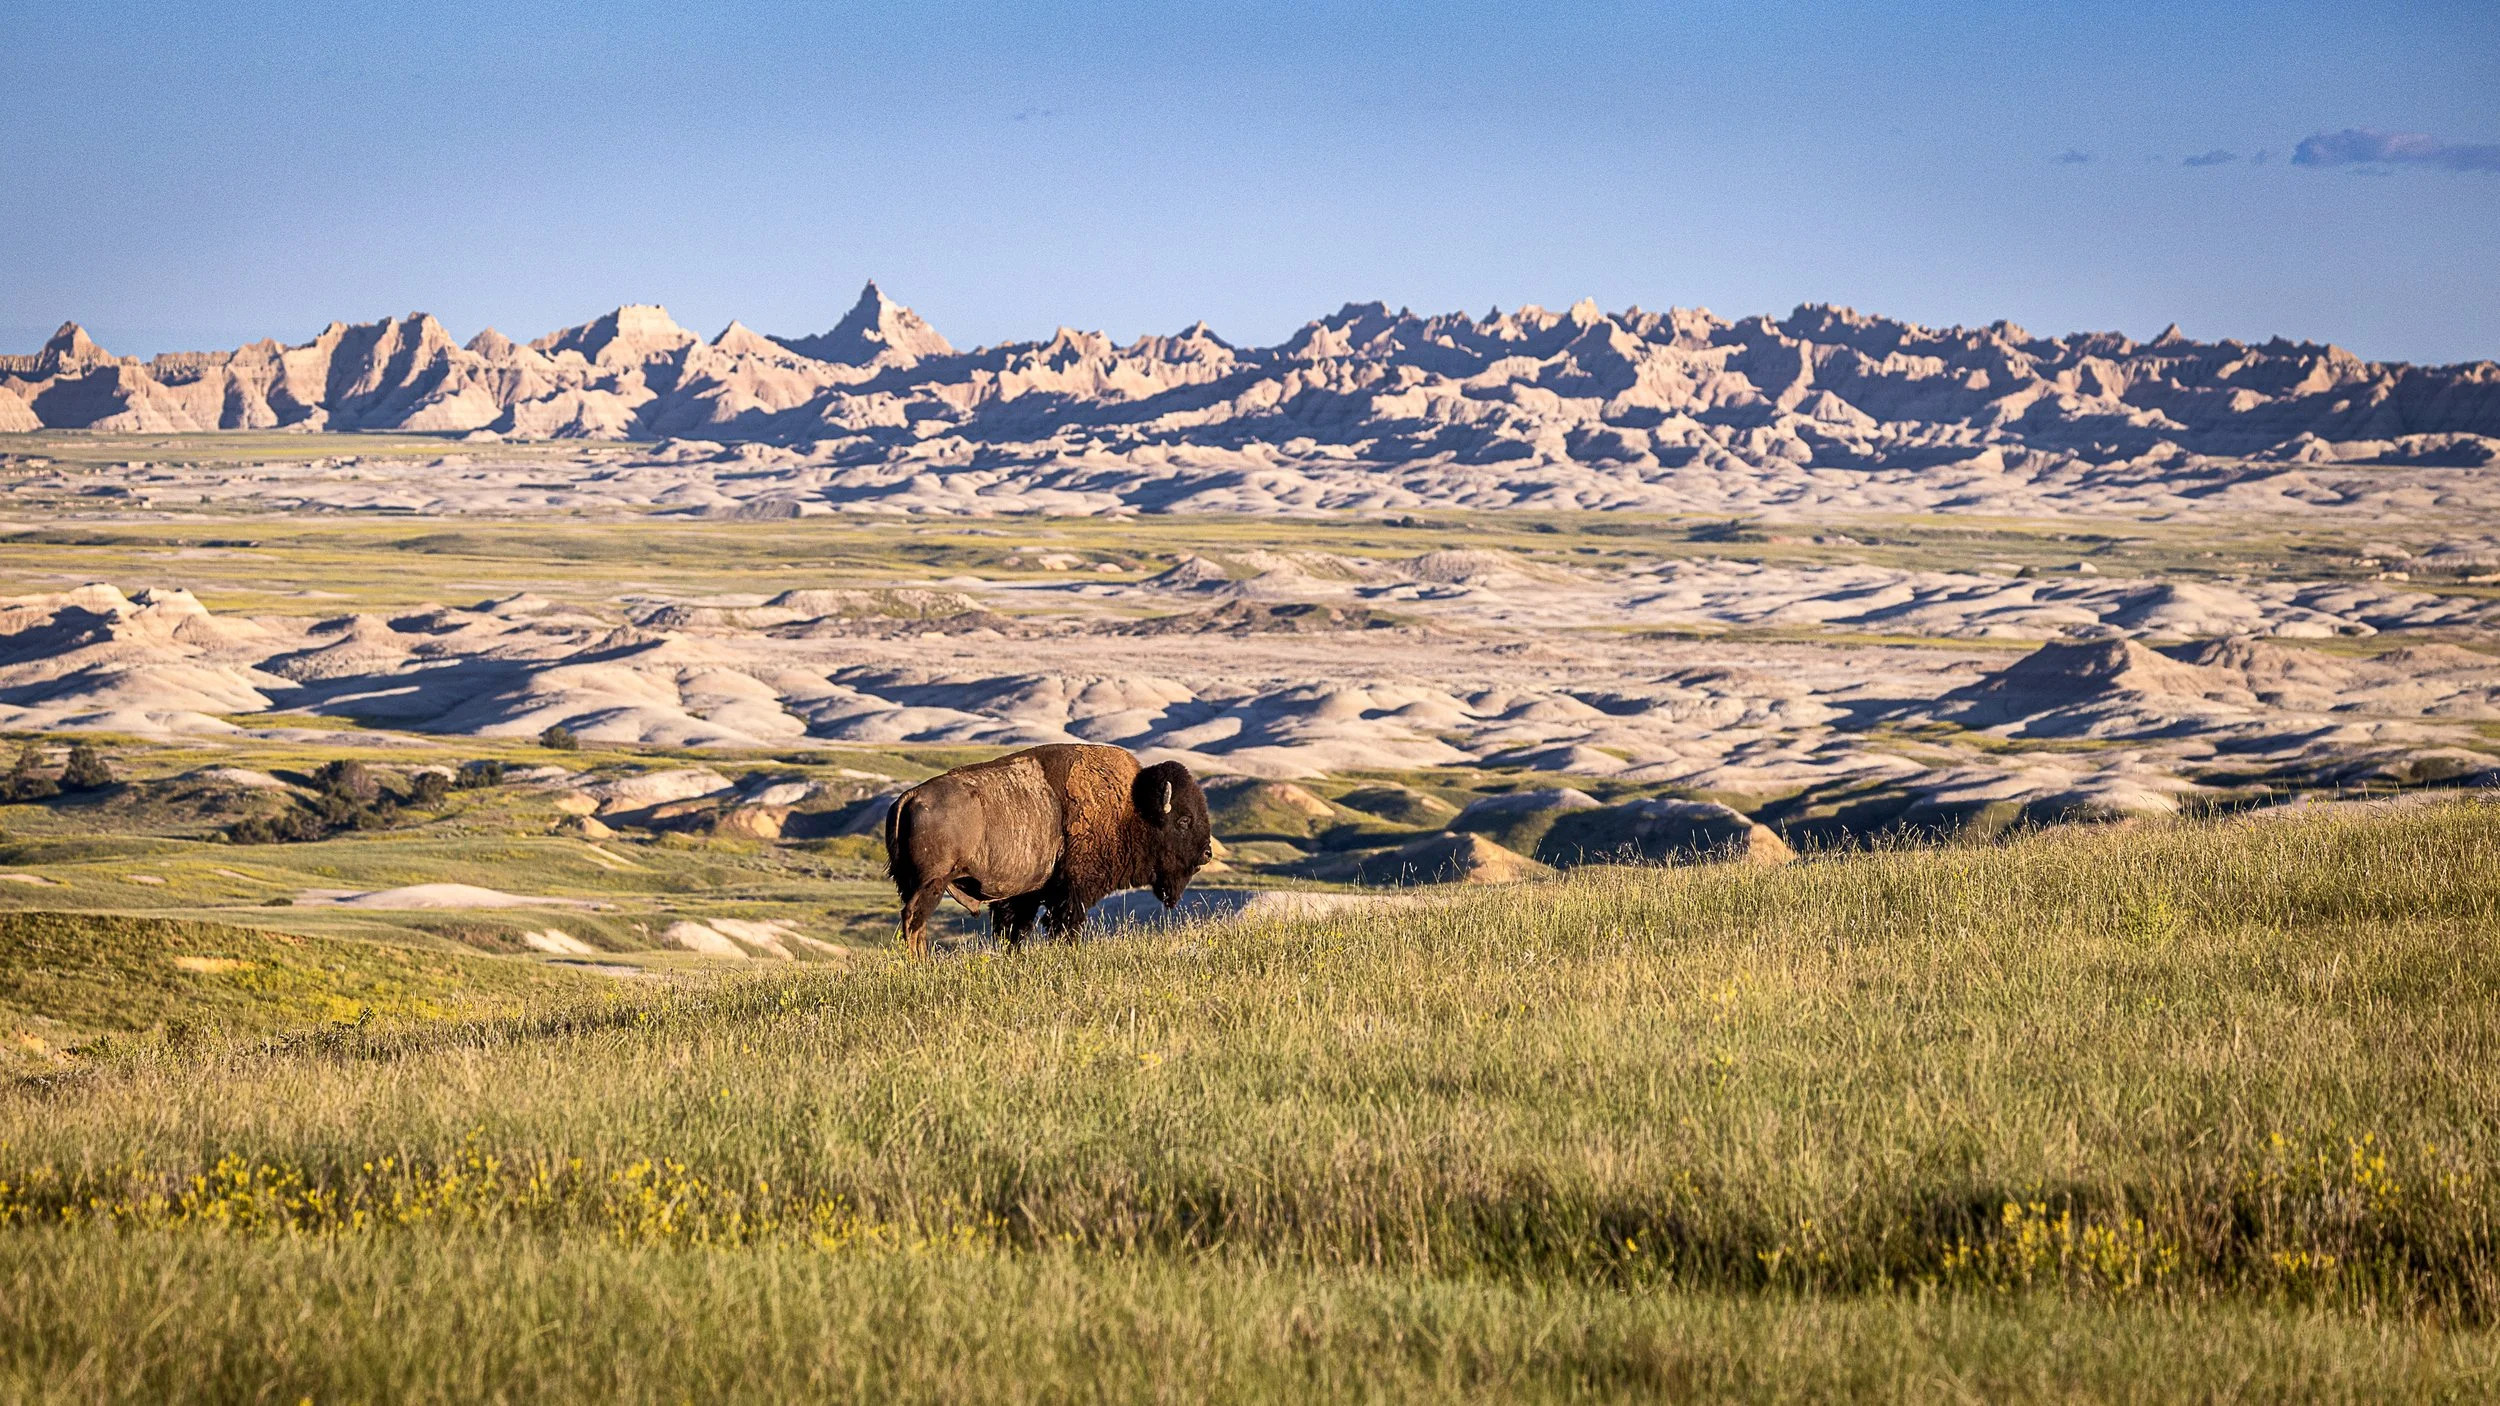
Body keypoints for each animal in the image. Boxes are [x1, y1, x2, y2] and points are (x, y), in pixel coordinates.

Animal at [882, 743, 1213, 957]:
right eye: (1184, 820)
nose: (1207, 853)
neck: (1131, 807)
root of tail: (910, 797)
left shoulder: (1025, 896)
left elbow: (1015, 929)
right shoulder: (1071, 892)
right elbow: (1063, 925)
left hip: (911, 882)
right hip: (932, 883)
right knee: (914, 919)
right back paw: (919, 964)